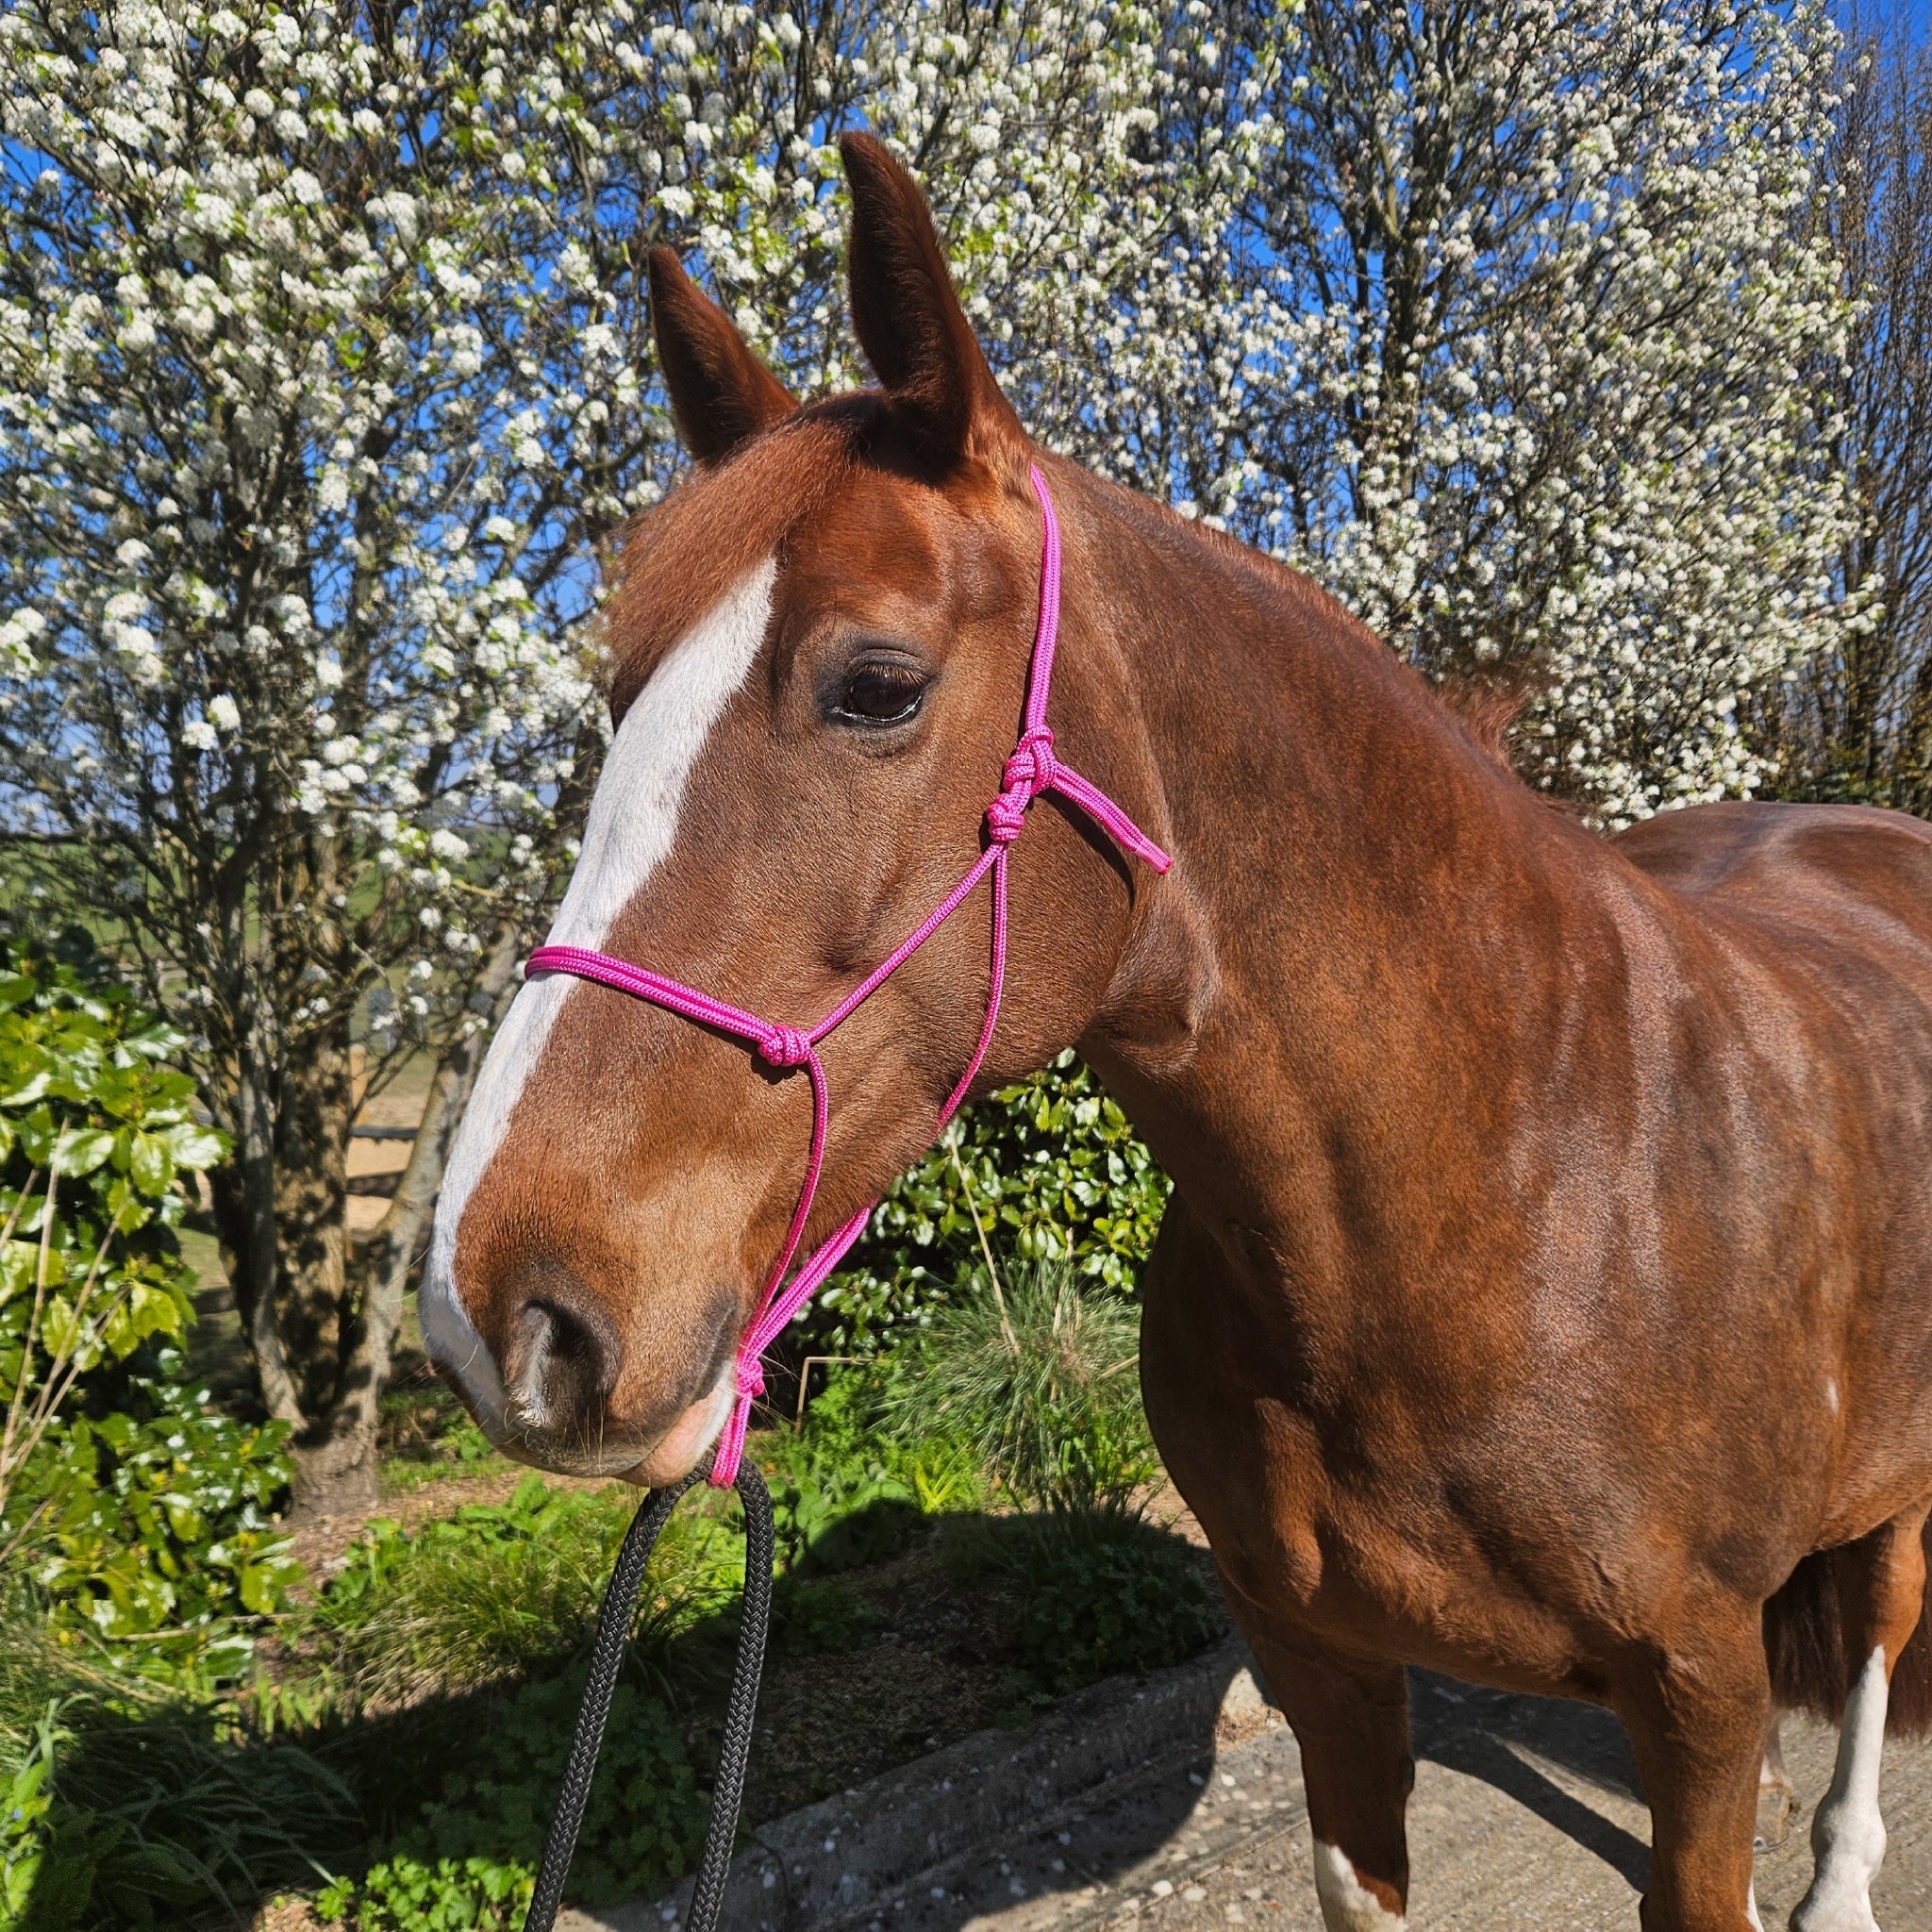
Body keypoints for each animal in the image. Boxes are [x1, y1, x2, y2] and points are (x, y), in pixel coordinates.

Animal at [421, 134, 1932, 1932]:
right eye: (616, 697)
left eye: (875, 684)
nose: (499, 1307)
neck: (1511, 1193)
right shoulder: (1323, 1666)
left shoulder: (1697, 1694)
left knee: (1878, 1620)